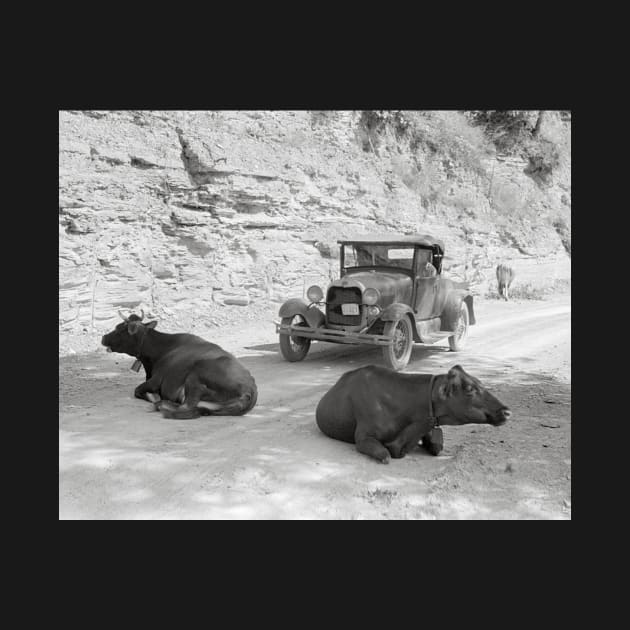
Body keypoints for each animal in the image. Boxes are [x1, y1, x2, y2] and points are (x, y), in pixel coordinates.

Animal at [100, 312, 256, 420]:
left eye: (119, 328)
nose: (103, 337)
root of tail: (249, 389)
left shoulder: (156, 380)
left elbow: (138, 390)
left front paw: (154, 397)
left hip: (195, 377)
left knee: (185, 406)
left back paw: (161, 404)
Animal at [316, 366, 512, 464]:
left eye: (480, 382)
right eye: (470, 389)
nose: (506, 411)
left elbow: (437, 446)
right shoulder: (363, 438)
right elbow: (385, 455)